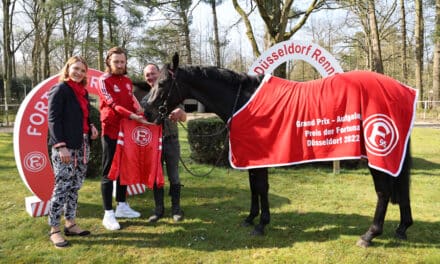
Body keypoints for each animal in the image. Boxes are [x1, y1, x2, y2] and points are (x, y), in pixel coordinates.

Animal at [144, 52, 412, 246]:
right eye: (153, 81)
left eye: (163, 82)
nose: (147, 112)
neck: (244, 100)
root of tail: (400, 90)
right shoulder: (250, 157)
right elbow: (253, 187)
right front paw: (250, 218)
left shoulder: (260, 157)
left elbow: (261, 187)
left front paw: (261, 224)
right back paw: (402, 228)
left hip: (377, 155)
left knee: (383, 192)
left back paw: (370, 235)